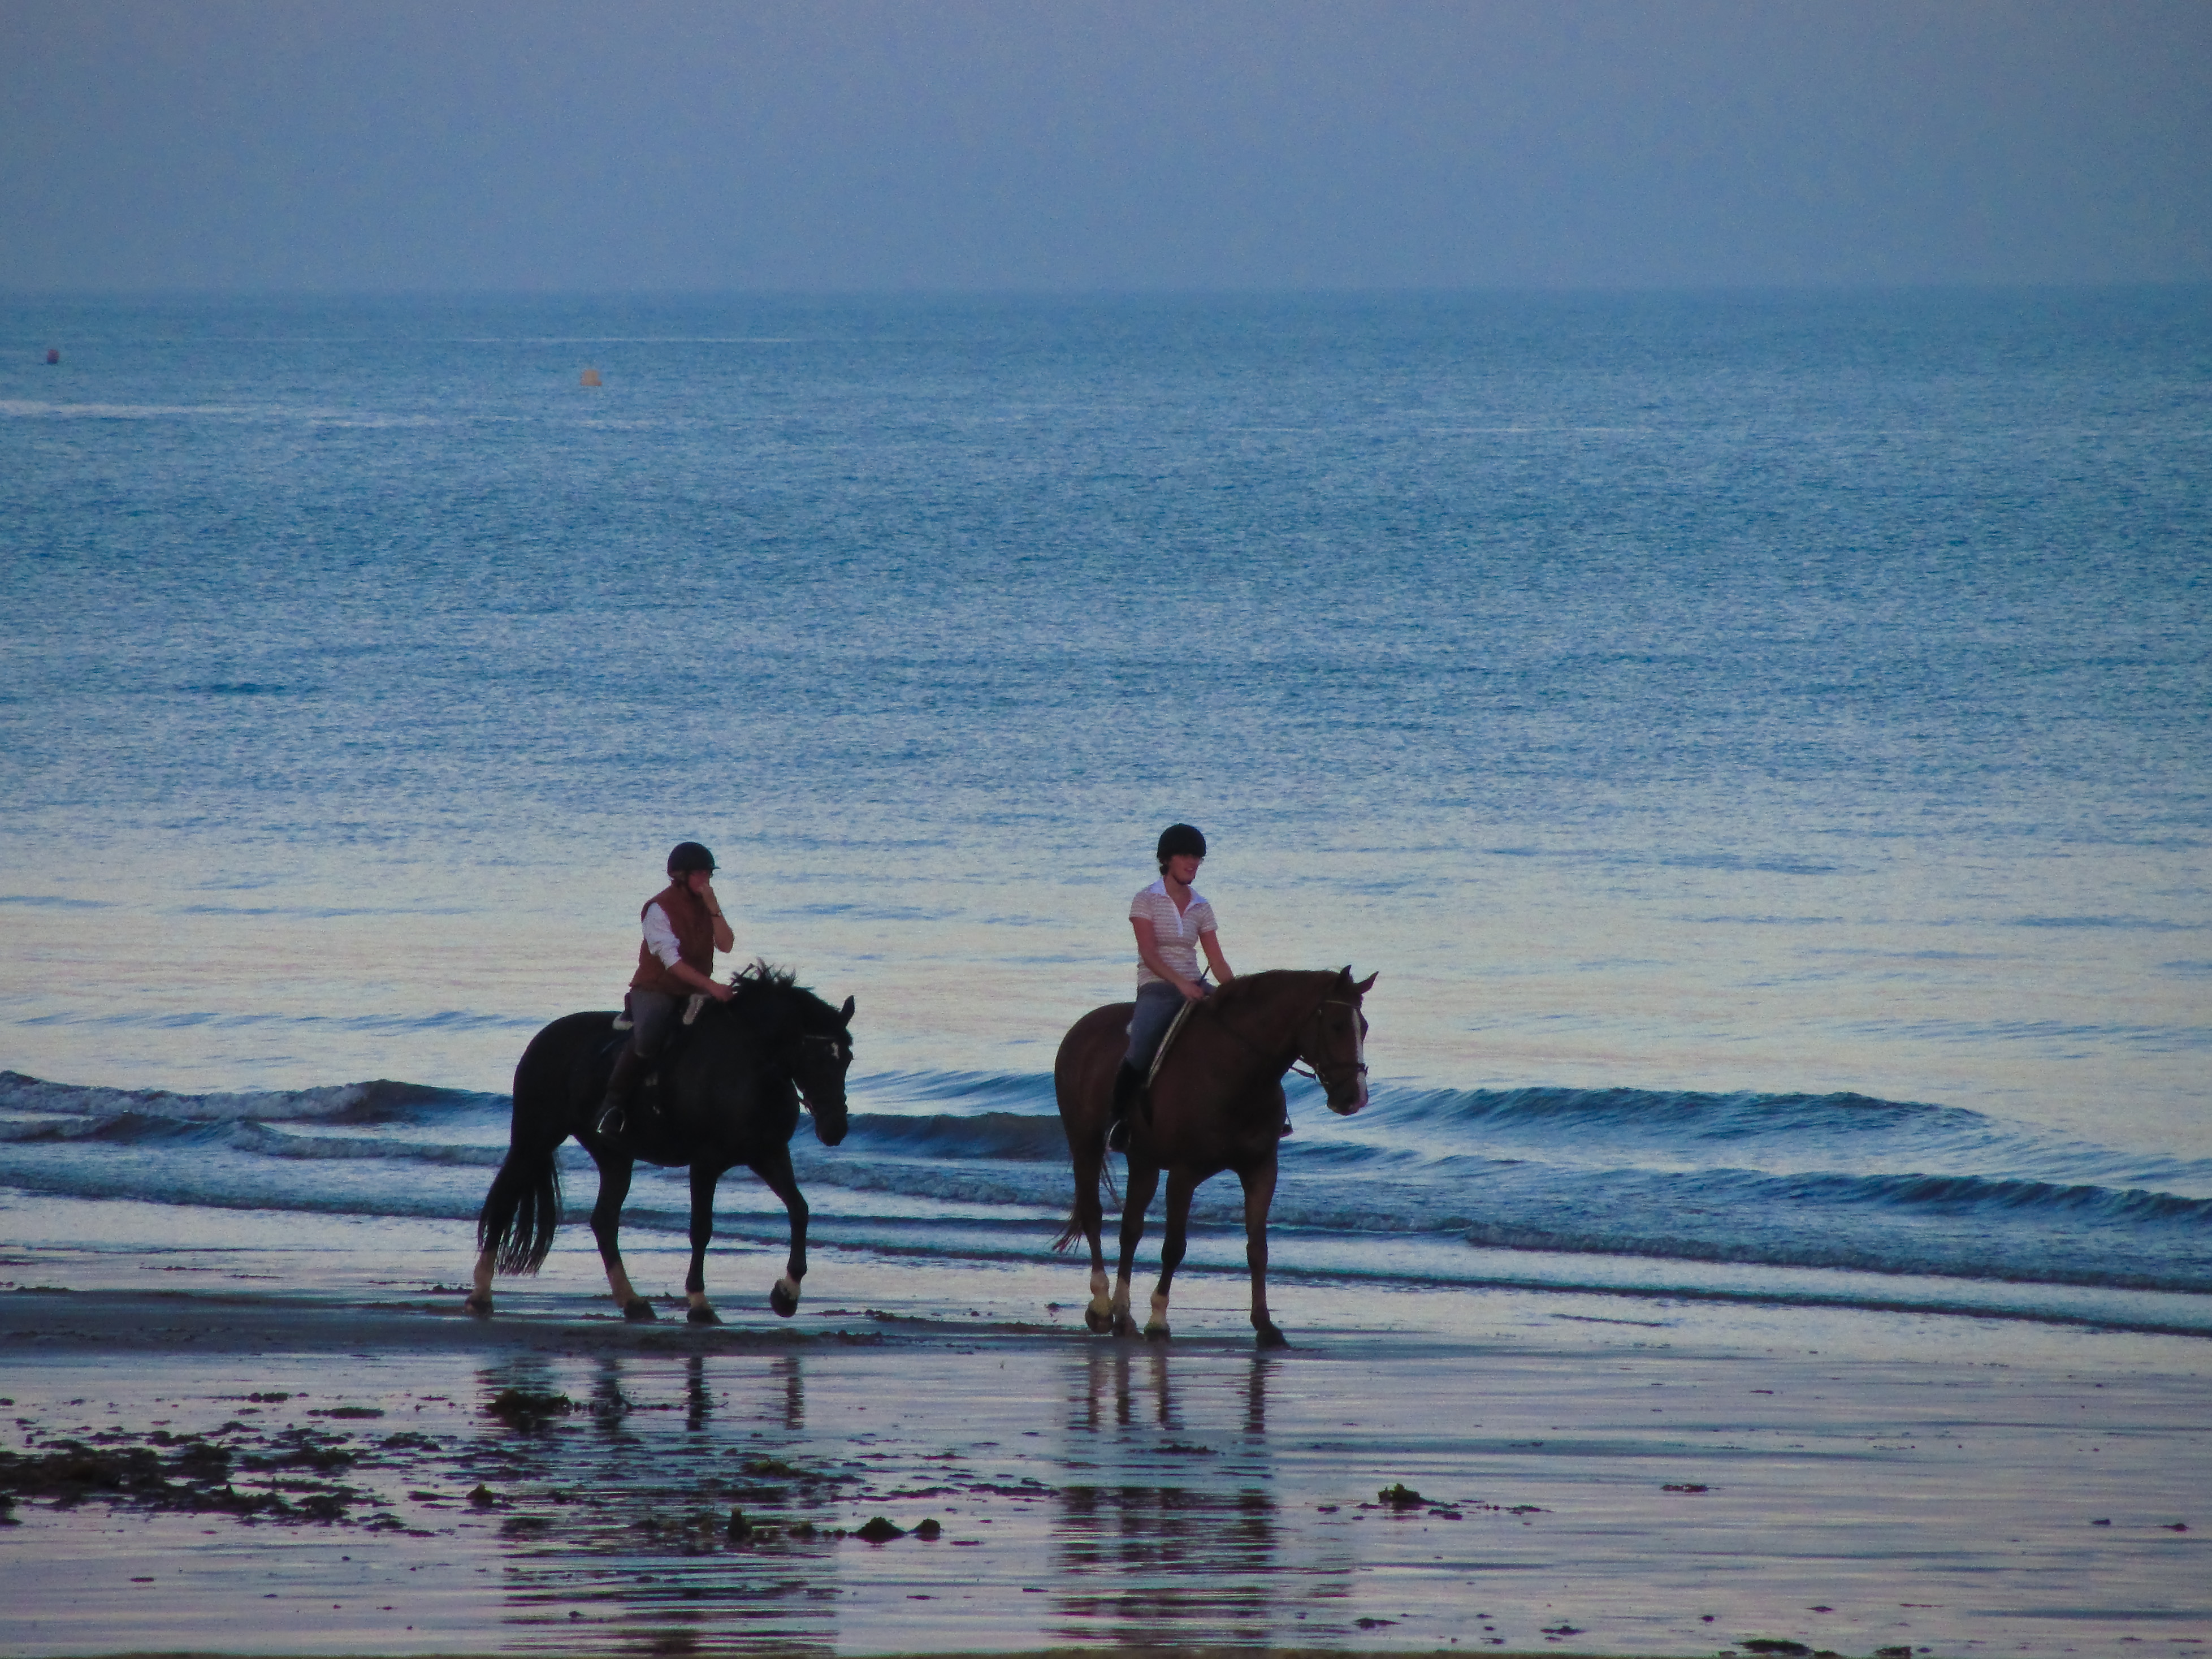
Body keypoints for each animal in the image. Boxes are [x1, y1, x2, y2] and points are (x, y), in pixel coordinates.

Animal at [466, 969, 854, 1336]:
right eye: (814, 1056)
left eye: (847, 1058)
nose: (835, 1129)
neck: (749, 1067)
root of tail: (544, 1039)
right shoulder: (706, 1162)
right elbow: (701, 1229)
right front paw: (699, 1303)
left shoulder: (768, 1154)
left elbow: (799, 1210)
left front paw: (786, 1295)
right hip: (534, 1140)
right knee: (504, 1203)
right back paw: (480, 1296)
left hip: (614, 1156)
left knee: (604, 1220)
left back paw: (632, 1301)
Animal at [1044, 973, 1371, 1354]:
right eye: (1336, 1026)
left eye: (1363, 1027)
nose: (1355, 1098)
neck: (1238, 1072)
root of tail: (1082, 1028)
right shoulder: (1183, 1175)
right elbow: (1174, 1247)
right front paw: (1159, 1321)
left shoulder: (1261, 1170)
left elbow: (1257, 1249)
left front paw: (1265, 1326)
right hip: (1086, 1143)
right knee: (1093, 1215)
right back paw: (1100, 1307)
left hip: (1144, 1161)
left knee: (1131, 1228)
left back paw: (1123, 1315)